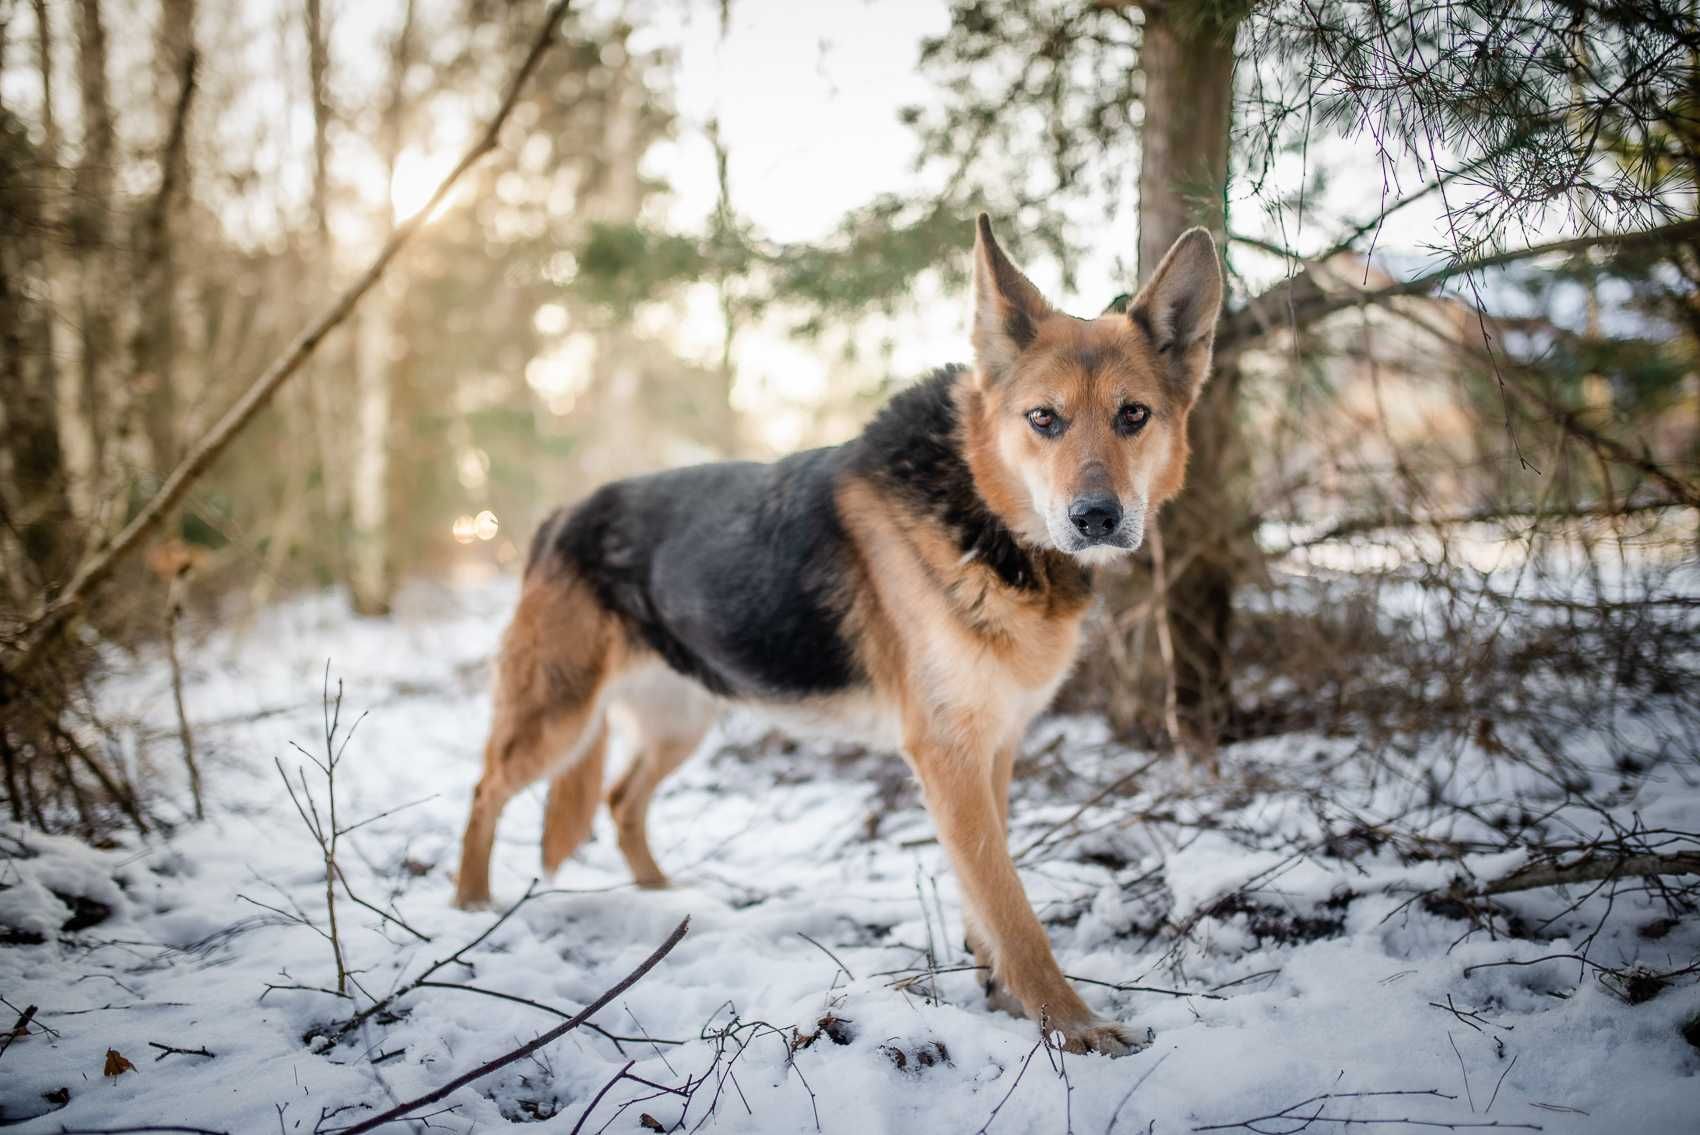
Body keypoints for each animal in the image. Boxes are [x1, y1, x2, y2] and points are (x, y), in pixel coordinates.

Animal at [452, 214, 1224, 1053]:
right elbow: (1012, 907)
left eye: (1133, 415)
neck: (983, 512)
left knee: (622, 798)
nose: (1096, 518)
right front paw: (1069, 1022)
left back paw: (662, 895)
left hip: (680, 722)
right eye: (1043, 419)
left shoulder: (992, 748)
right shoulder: (948, 753)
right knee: (486, 789)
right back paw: (470, 907)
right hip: (555, 717)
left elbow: (984, 892)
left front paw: (1001, 992)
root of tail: (562, 515)